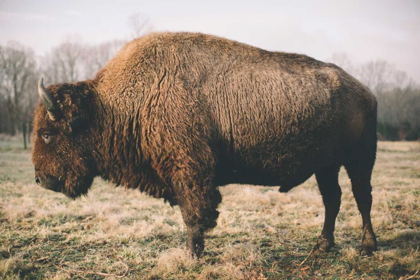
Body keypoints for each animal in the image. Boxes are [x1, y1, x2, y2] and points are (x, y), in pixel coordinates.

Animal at [32, 31, 378, 258]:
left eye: (48, 133)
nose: (40, 179)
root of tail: (364, 90)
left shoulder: (190, 171)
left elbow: (194, 215)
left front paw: (192, 256)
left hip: (359, 159)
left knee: (362, 198)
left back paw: (367, 246)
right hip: (326, 165)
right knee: (332, 199)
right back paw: (323, 246)